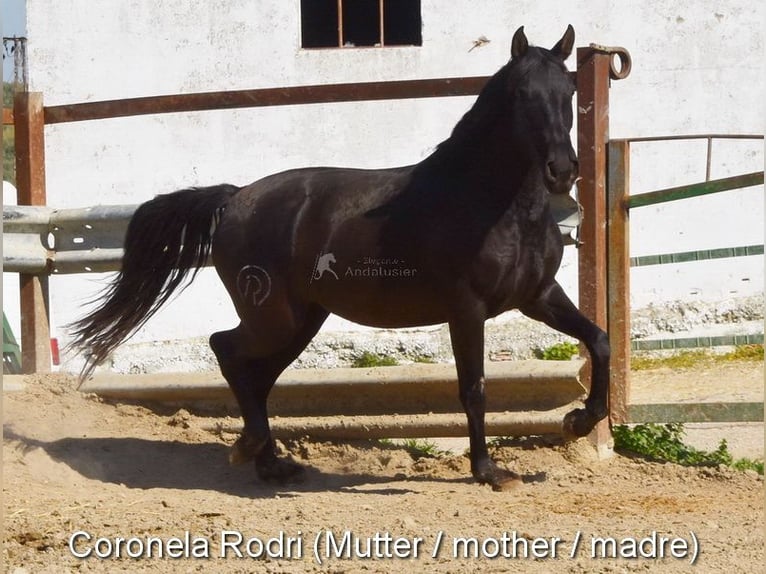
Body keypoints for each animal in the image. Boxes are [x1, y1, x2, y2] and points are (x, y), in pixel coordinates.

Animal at [69, 25, 610, 491]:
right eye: (521, 94)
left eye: (568, 90)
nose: (562, 170)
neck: (489, 202)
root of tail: (236, 197)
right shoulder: (466, 309)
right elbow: (473, 387)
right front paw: (489, 471)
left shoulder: (538, 296)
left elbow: (599, 341)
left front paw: (579, 421)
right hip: (275, 317)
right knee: (227, 350)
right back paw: (251, 450)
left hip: (302, 320)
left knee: (255, 374)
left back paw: (270, 463)